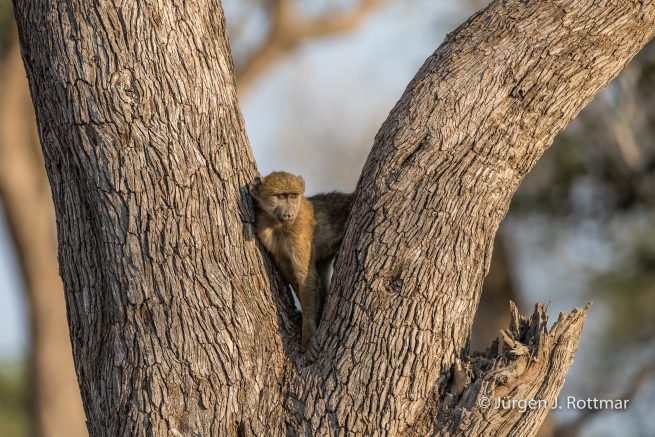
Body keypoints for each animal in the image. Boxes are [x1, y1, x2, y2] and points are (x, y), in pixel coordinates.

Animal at [250, 172, 352, 351]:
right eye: (281, 196)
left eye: (293, 196)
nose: (290, 214)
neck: (277, 224)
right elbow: (289, 271)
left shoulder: (299, 229)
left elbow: (305, 276)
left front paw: (308, 334)